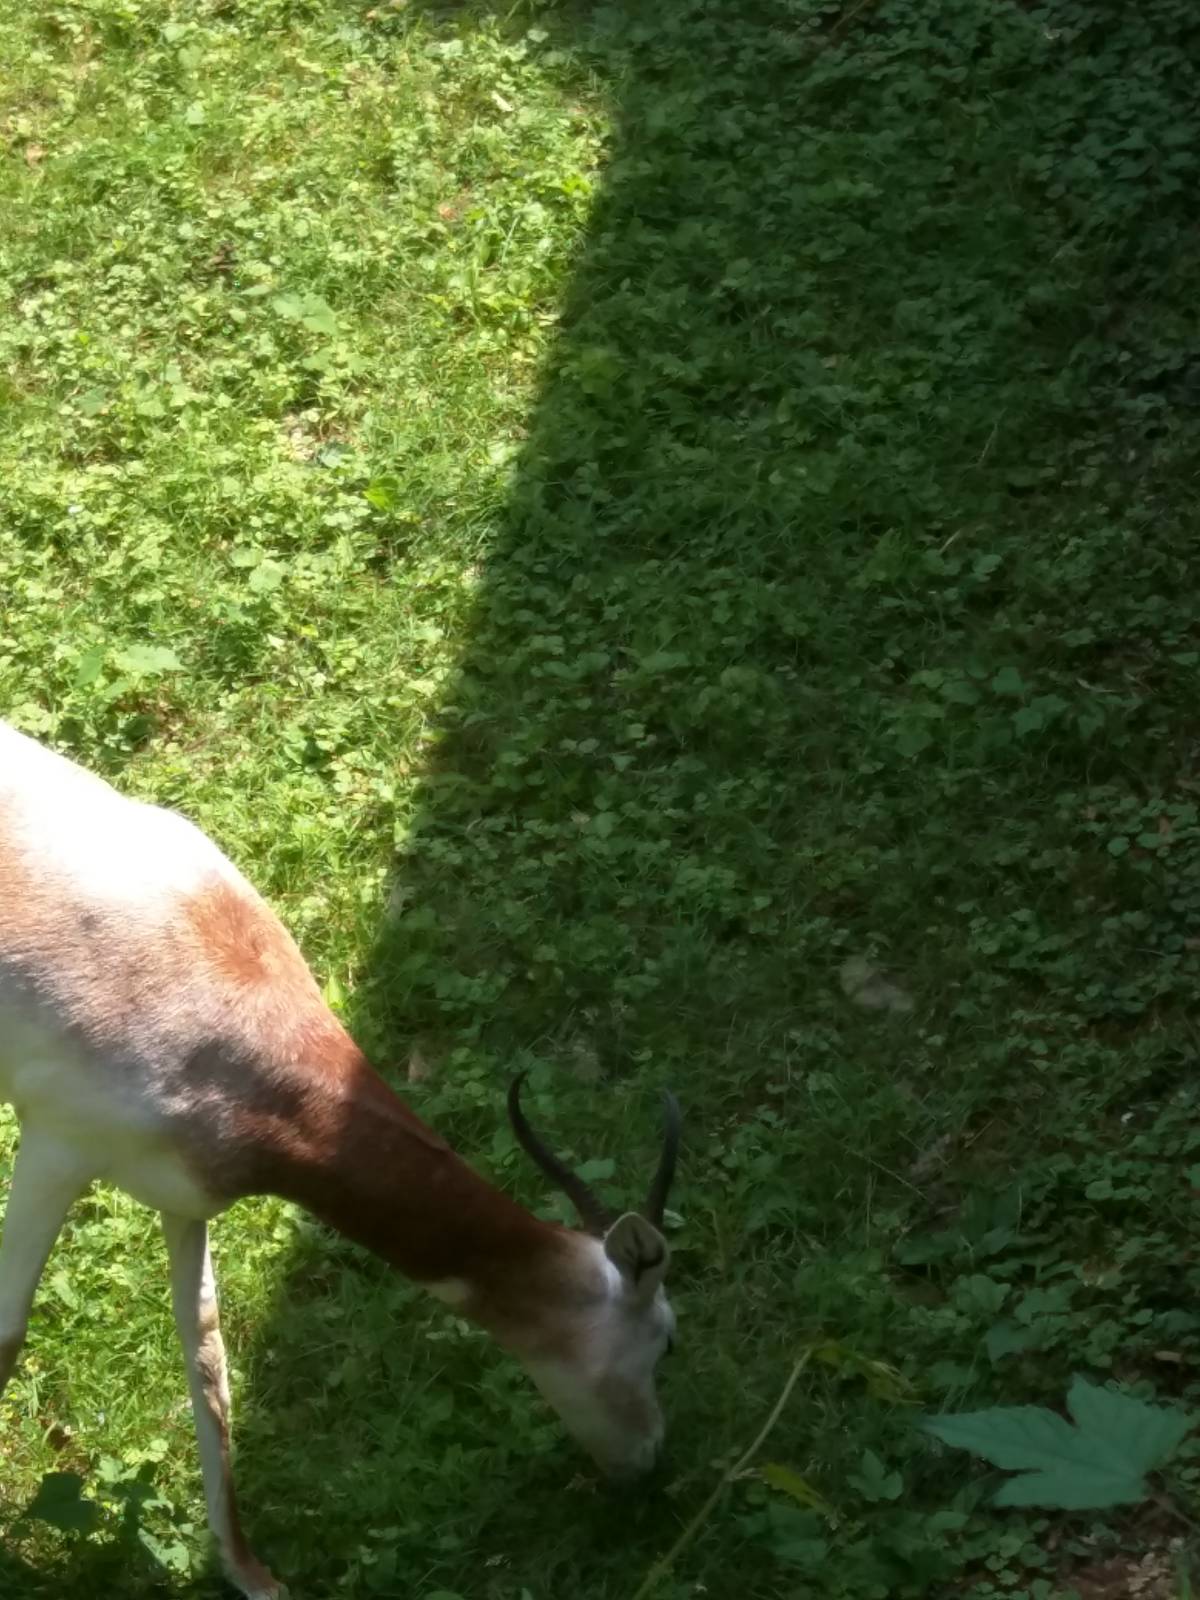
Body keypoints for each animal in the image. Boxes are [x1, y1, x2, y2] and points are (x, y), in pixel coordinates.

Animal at [0, 722, 680, 1599]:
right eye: (667, 1340)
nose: (652, 1463)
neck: (223, 1028)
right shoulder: (56, 1146)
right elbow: (9, 1333)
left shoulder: (183, 1196)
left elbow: (209, 1363)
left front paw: (253, 1576)